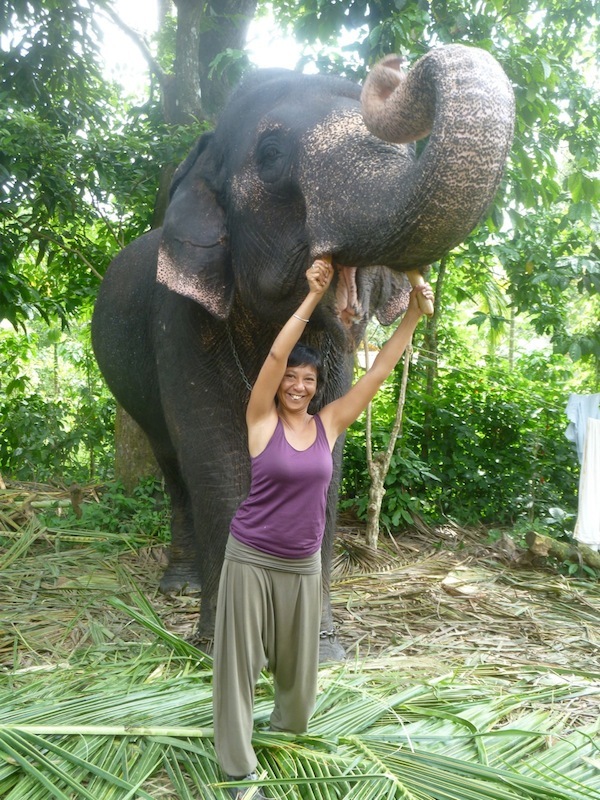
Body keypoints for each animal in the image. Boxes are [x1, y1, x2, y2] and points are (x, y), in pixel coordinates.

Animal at [91, 43, 512, 660]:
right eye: (270, 155)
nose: (392, 66)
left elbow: (326, 460)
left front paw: (318, 649)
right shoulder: (180, 319)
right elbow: (213, 451)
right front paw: (221, 645)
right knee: (172, 463)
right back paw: (179, 586)